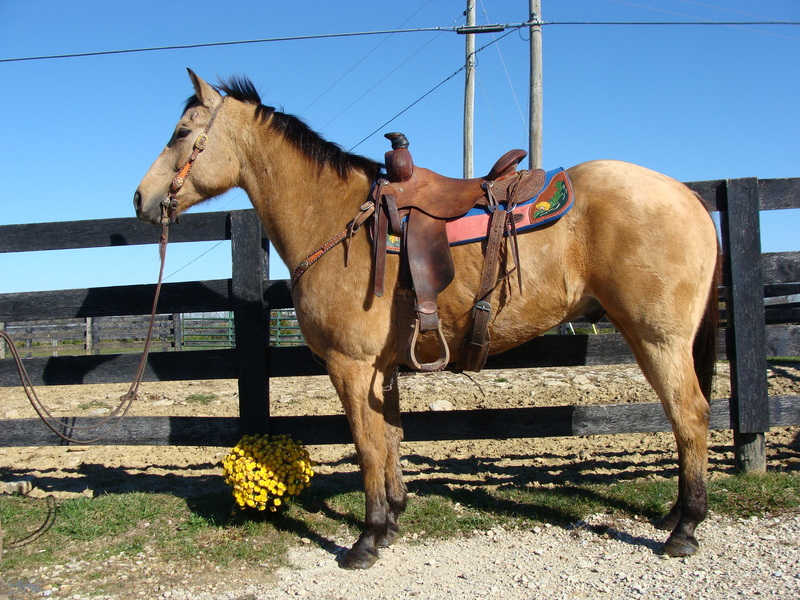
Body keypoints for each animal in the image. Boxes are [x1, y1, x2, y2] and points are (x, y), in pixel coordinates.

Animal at [134, 70, 720, 570]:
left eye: (182, 132)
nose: (141, 199)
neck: (336, 218)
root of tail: (687, 195)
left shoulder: (351, 366)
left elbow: (368, 444)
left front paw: (367, 538)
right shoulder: (381, 367)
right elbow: (391, 437)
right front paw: (392, 519)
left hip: (658, 338)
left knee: (690, 416)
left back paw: (685, 529)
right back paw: (675, 515)